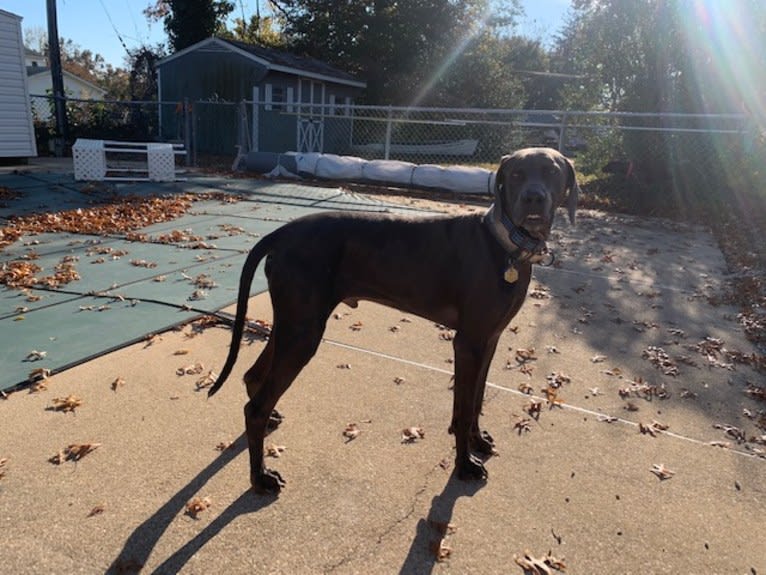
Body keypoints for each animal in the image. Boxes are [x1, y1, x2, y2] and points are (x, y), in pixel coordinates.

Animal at [207, 148, 580, 496]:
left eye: (552, 171)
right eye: (517, 174)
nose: (534, 198)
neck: (504, 245)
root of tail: (282, 232)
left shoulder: (489, 339)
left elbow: (475, 401)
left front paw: (478, 442)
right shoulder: (468, 343)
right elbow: (462, 410)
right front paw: (464, 465)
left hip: (293, 323)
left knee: (253, 377)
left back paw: (269, 420)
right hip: (303, 331)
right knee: (255, 407)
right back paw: (260, 477)